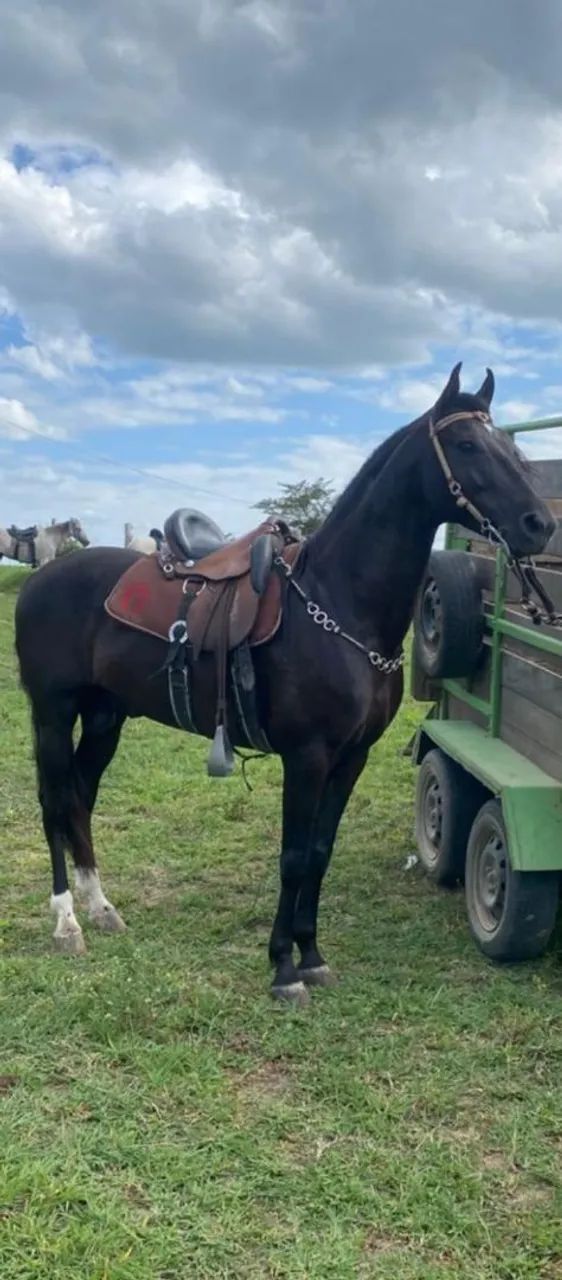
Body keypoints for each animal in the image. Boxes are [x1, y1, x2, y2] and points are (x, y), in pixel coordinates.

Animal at [14, 365, 555, 1005]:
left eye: (511, 448)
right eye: (468, 445)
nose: (540, 524)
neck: (337, 602)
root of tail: (40, 579)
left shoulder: (351, 758)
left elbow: (319, 853)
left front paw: (312, 956)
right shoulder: (308, 756)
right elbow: (294, 856)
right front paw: (282, 968)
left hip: (105, 716)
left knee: (80, 798)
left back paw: (101, 908)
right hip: (52, 713)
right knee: (54, 800)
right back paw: (66, 921)